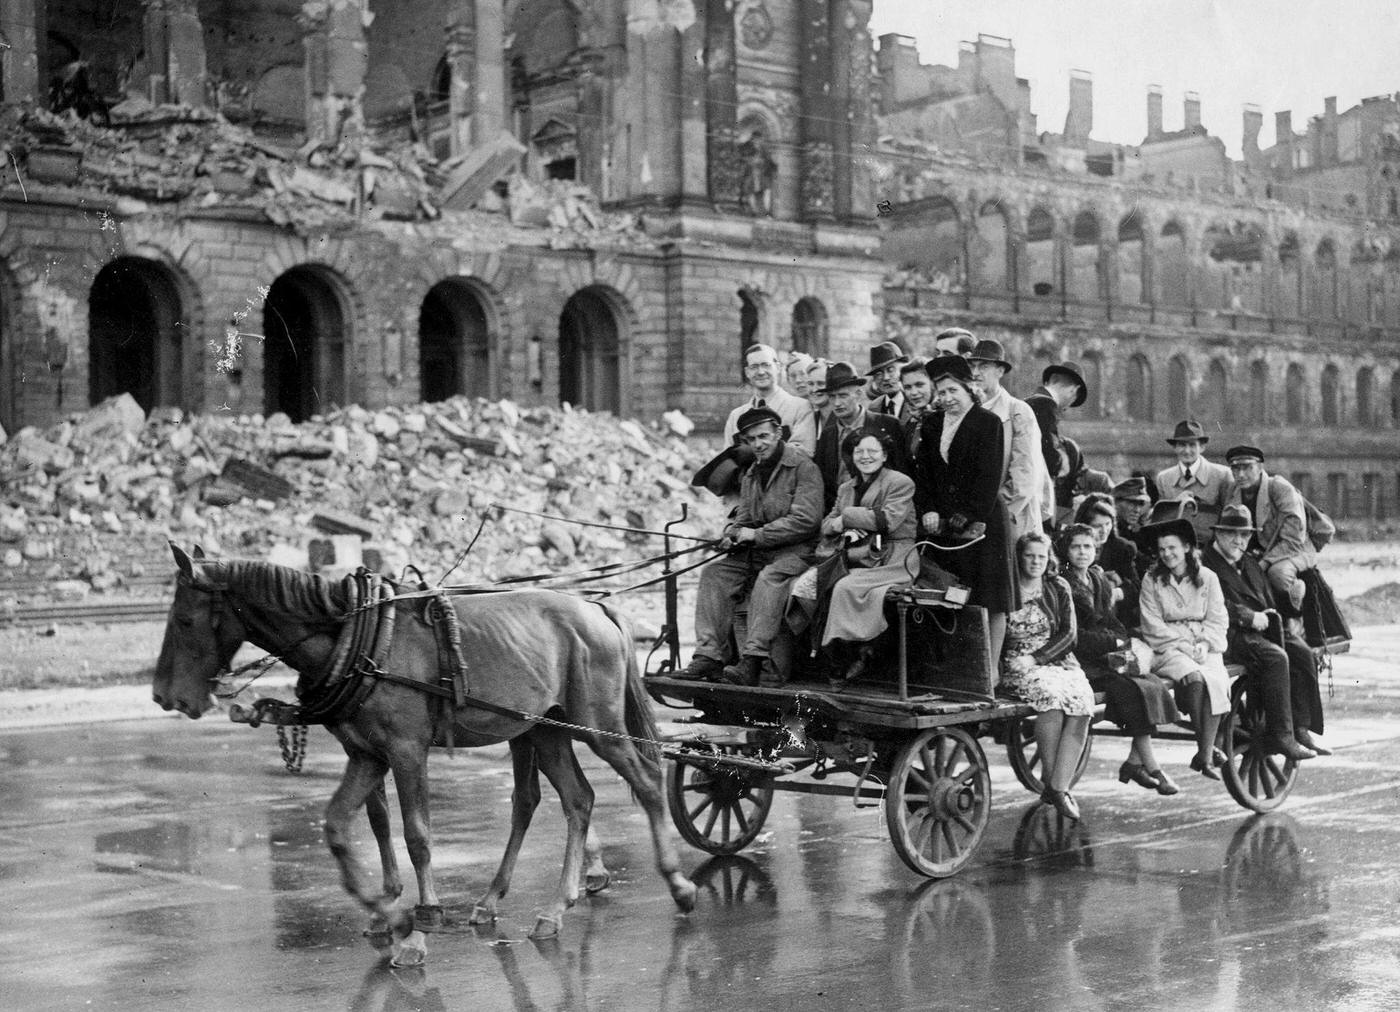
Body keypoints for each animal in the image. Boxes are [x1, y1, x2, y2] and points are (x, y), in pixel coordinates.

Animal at [156, 545, 697, 968]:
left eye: (184, 619)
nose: (164, 696)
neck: (356, 637)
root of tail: (595, 608)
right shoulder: (366, 756)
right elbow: (341, 825)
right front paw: (387, 911)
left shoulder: (407, 752)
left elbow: (417, 836)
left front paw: (420, 926)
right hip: (545, 730)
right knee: (577, 799)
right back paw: (553, 907)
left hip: (597, 725)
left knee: (647, 782)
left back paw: (677, 883)